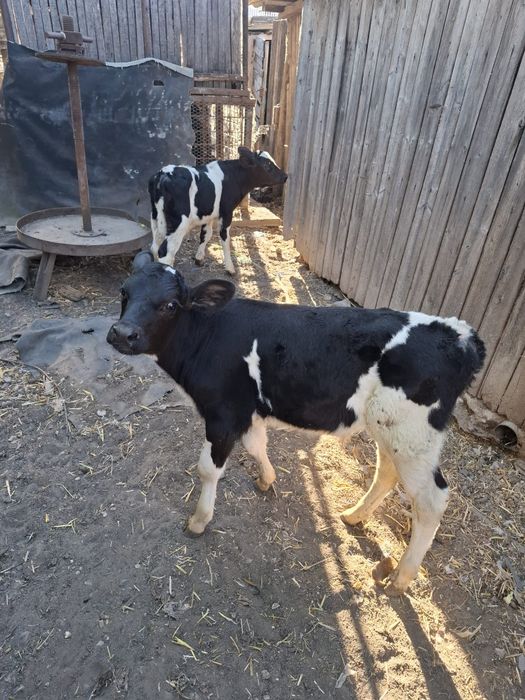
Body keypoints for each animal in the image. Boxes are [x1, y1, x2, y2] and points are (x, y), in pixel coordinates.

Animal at [107, 253, 485, 596]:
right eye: (124, 291)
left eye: (170, 305)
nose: (122, 333)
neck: (208, 335)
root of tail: (463, 336)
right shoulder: (246, 410)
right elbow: (256, 445)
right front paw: (266, 479)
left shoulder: (222, 413)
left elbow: (208, 470)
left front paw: (199, 520)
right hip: (391, 428)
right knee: (387, 471)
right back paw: (354, 516)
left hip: (411, 433)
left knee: (431, 500)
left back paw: (400, 578)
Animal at [148, 147, 288, 275]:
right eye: (267, 165)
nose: (285, 176)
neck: (233, 176)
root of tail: (163, 174)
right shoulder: (226, 213)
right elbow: (225, 239)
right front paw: (230, 268)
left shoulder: (208, 215)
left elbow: (206, 235)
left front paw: (199, 259)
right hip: (179, 224)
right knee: (165, 251)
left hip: (156, 218)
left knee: (155, 246)